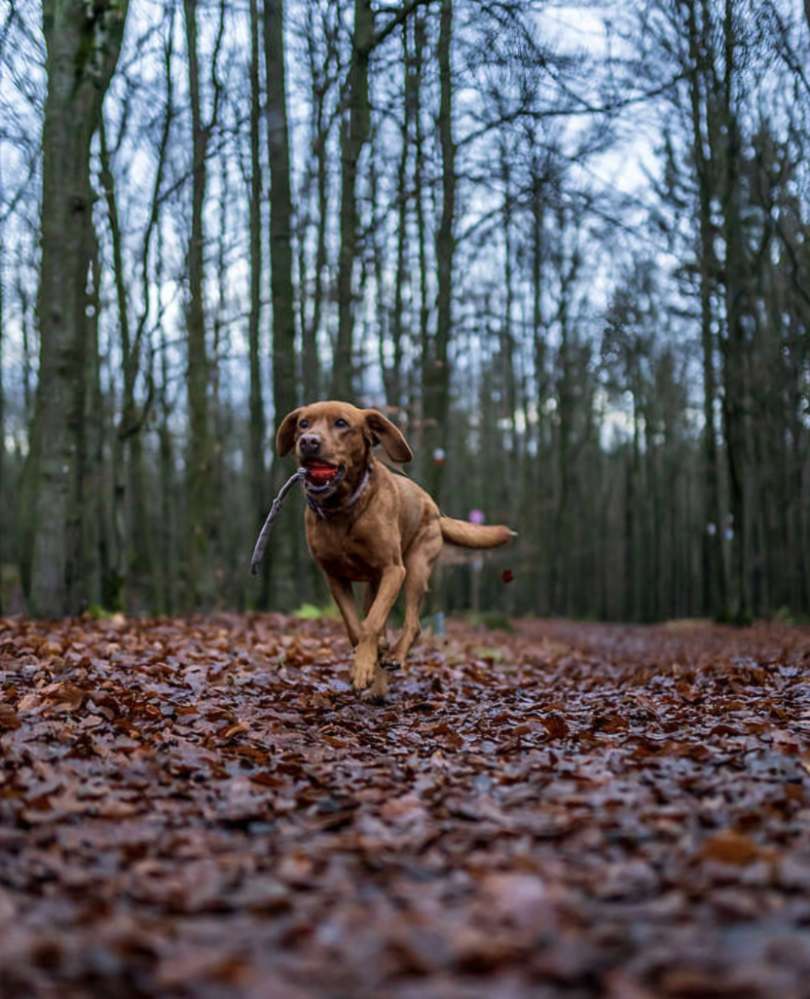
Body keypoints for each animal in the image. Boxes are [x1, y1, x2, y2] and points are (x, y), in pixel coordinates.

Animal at [274, 402, 516, 700]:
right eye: (303, 424)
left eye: (341, 423)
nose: (308, 441)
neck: (343, 509)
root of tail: (437, 511)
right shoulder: (335, 577)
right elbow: (356, 627)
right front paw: (366, 660)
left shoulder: (393, 570)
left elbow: (371, 624)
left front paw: (364, 663)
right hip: (376, 584)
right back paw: (378, 684)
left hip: (415, 567)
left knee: (413, 623)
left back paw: (394, 657)